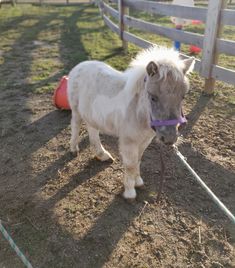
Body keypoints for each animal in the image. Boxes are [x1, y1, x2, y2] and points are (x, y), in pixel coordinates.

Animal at [67, 46, 194, 200]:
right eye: (153, 97)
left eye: (183, 96)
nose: (169, 138)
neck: (138, 112)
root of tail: (80, 65)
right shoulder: (128, 141)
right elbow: (130, 165)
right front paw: (129, 192)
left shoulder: (144, 140)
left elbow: (138, 160)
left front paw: (138, 182)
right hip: (76, 110)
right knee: (75, 125)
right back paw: (74, 149)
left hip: (93, 115)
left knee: (93, 130)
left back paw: (102, 155)